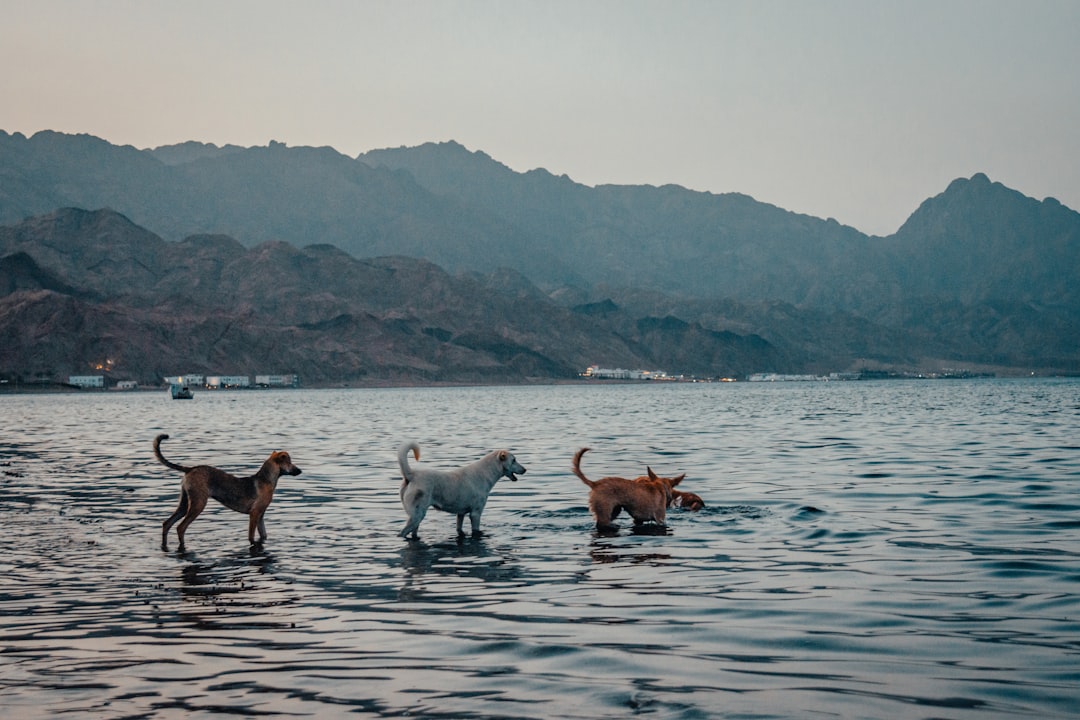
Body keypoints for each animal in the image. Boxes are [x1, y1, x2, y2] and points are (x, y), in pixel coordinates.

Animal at [156, 433, 302, 552]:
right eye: (289, 462)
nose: (300, 471)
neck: (266, 479)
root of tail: (190, 469)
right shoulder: (254, 514)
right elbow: (251, 536)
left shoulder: (261, 516)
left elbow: (264, 535)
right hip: (198, 504)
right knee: (181, 528)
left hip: (184, 504)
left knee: (167, 524)